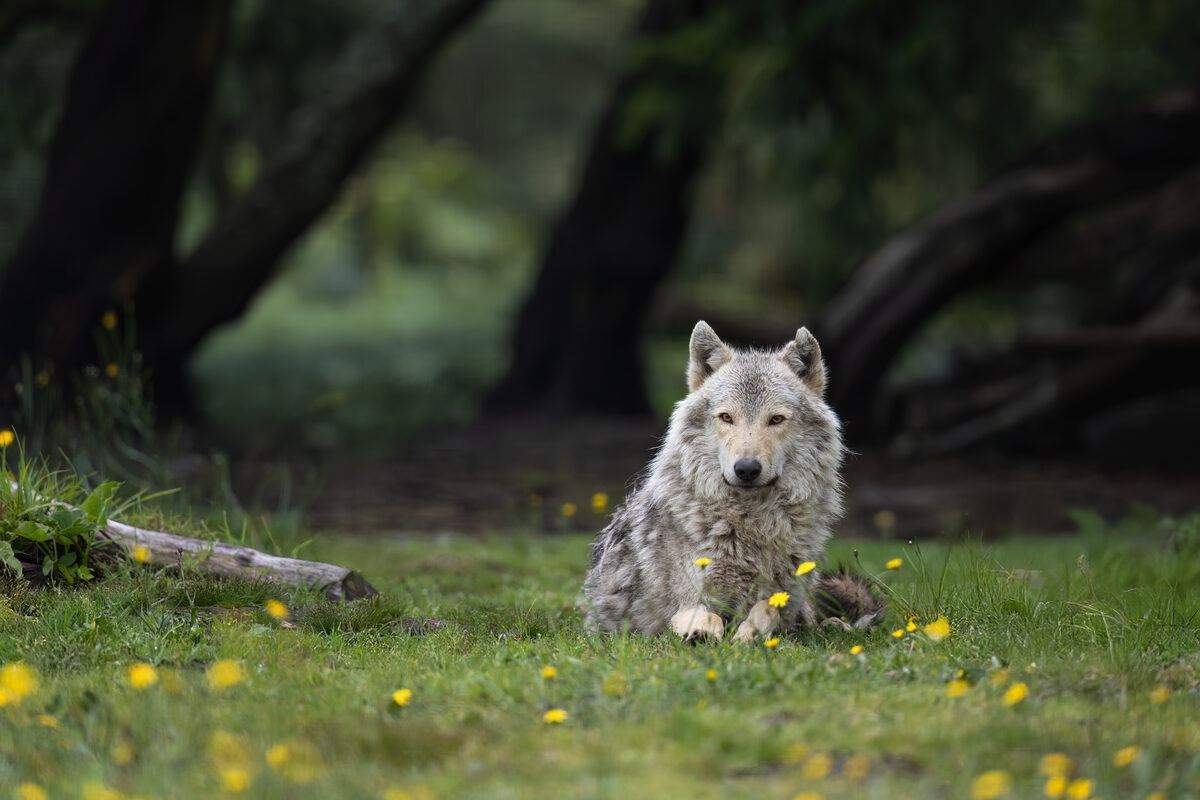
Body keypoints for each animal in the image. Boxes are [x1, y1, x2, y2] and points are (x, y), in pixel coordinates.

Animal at [582, 321, 885, 641]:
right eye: (726, 417)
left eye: (776, 419)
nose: (747, 469)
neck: (750, 526)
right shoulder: (689, 600)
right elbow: (706, 616)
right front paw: (703, 634)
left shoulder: (784, 597)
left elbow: (767, 608)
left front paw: (747, 636)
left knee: (816, 617)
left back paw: (835, 625)